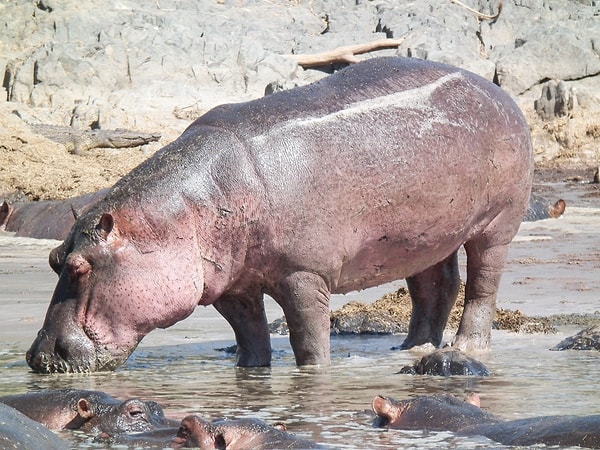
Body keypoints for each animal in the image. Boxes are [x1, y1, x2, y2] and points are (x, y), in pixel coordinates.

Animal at [27, 56, 536, 372]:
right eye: (53, 259)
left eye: (80, 267)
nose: (36, 356)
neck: (184, 213)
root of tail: (497, 90)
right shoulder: (230, 285)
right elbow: (250, 335)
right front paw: (250, 373)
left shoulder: (304, 274)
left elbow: (307, 338)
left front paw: (313, 374)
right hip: (425, 234)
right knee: (436, 286)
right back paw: (411, 348)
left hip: (497, 224)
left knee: (482, 287)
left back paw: (465, 348)